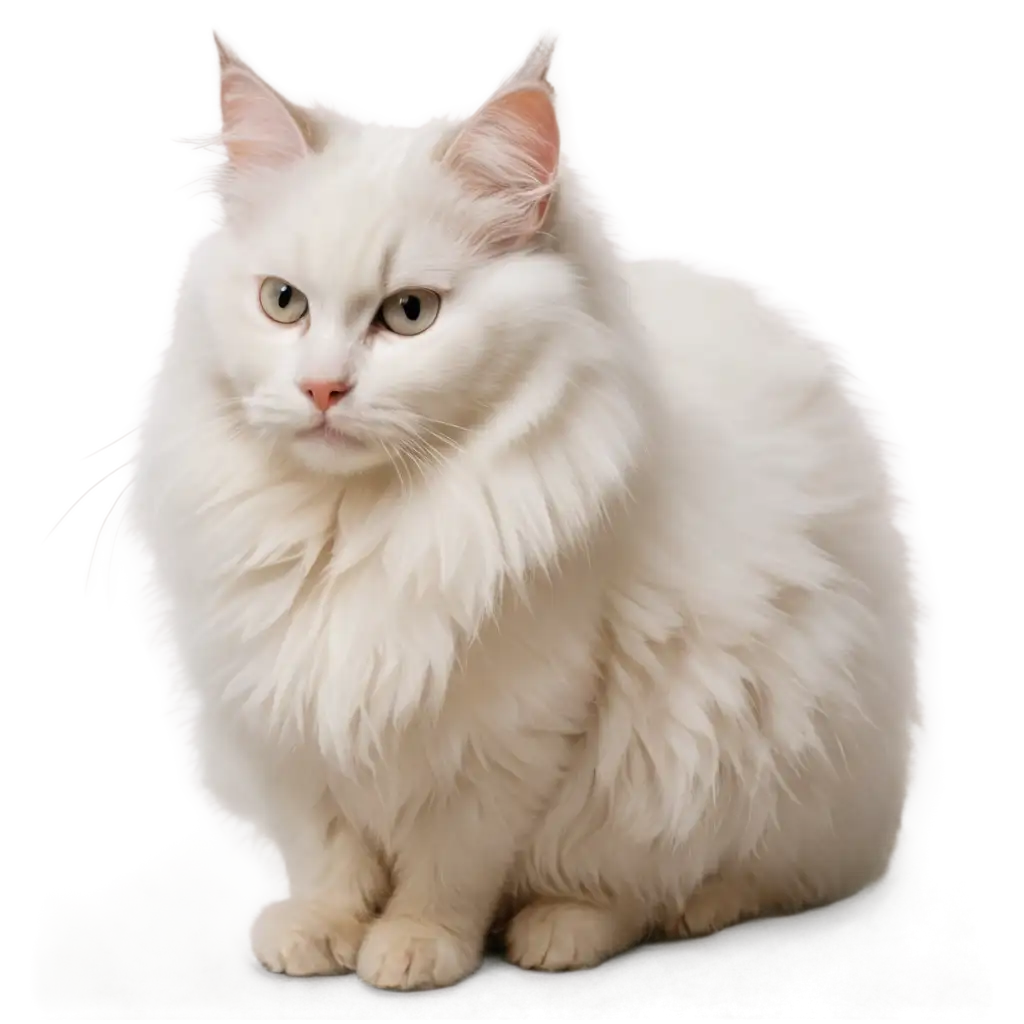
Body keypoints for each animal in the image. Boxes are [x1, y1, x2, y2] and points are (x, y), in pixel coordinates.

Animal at [92, 39, 933, 991]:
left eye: (409, 314)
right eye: (283, 302)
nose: (322, 389)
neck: (355, 526)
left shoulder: (511, 735)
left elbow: (449, 868)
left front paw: (417, 946)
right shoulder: (285, 725)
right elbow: (328, 856)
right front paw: (321, 930)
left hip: (727, 767)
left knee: (674, 889)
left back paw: (569, 929)